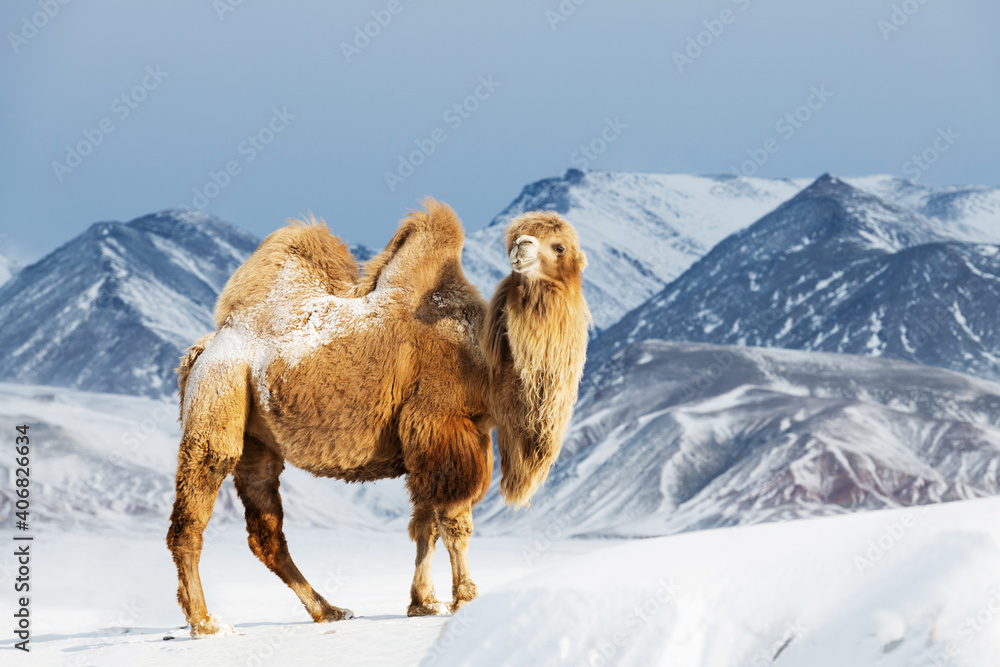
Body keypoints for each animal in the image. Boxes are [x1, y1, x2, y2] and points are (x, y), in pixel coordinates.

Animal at [165, 200, 590, 636]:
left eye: (559, 246)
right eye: (519, 237)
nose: (521, 247)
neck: (486, 361)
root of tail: (204, 348)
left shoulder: (426, 440)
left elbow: (425, 524)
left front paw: (425, 602)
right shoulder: (442, 424)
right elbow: (454, 520)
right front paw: (465, 597)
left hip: (257, 438)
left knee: (265, 531)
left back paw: (329, 610)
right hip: (218, 392)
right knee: (192, 513)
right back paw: (205, 622)